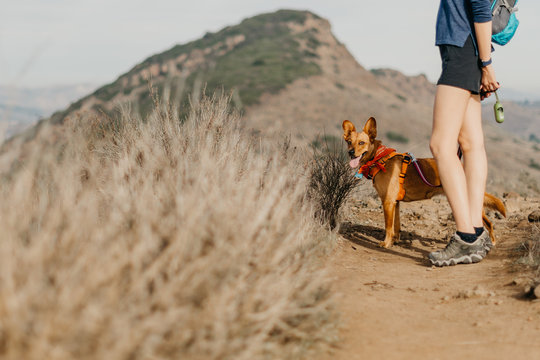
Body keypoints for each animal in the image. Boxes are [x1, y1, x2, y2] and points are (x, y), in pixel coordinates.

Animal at [342, 116, 506, 249]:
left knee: (488, 223)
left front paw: (386, 243)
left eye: (361, 143)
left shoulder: (388, 201)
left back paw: (490, 242)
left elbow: (388, 226)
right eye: (349, 142)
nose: (350, 152)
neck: (379, 158)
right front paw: (394, 241)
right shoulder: (395, 203)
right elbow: (396, 226)